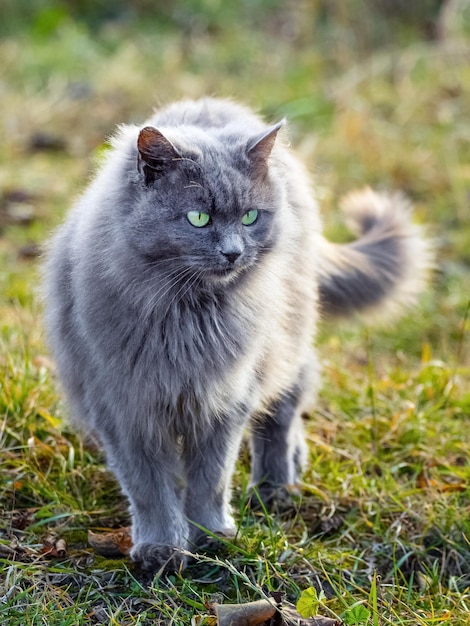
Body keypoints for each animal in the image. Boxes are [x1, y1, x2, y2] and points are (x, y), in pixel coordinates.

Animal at [42, 96, 432, 572]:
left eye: (249, 217)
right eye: (198, 218)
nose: (233, 252)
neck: (186, 318)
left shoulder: (226, 397)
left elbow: (211, 476)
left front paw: (210, 536)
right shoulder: (124, 407)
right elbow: (149, 487)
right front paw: (162, 547)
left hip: (285, 338)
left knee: (285, 407)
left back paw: (276, 485)